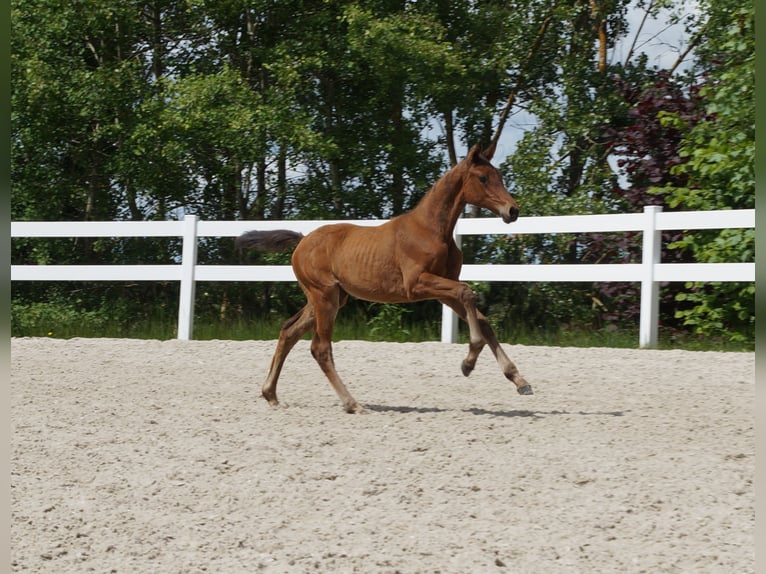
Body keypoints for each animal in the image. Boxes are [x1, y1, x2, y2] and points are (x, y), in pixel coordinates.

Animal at [236, 143, 532, 413]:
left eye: (499, 176)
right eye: (483, 178)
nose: (513, 211)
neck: (432, 230)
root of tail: (302, 239)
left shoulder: (441, 289)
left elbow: (481, 318)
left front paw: (519, 380)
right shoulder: (417, 285)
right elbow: (467, 292)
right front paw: (468, 363)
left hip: (329, 298)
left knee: (289, 331)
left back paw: (271, 395)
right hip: (324, 297)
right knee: (320, 348)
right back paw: (352, 403)